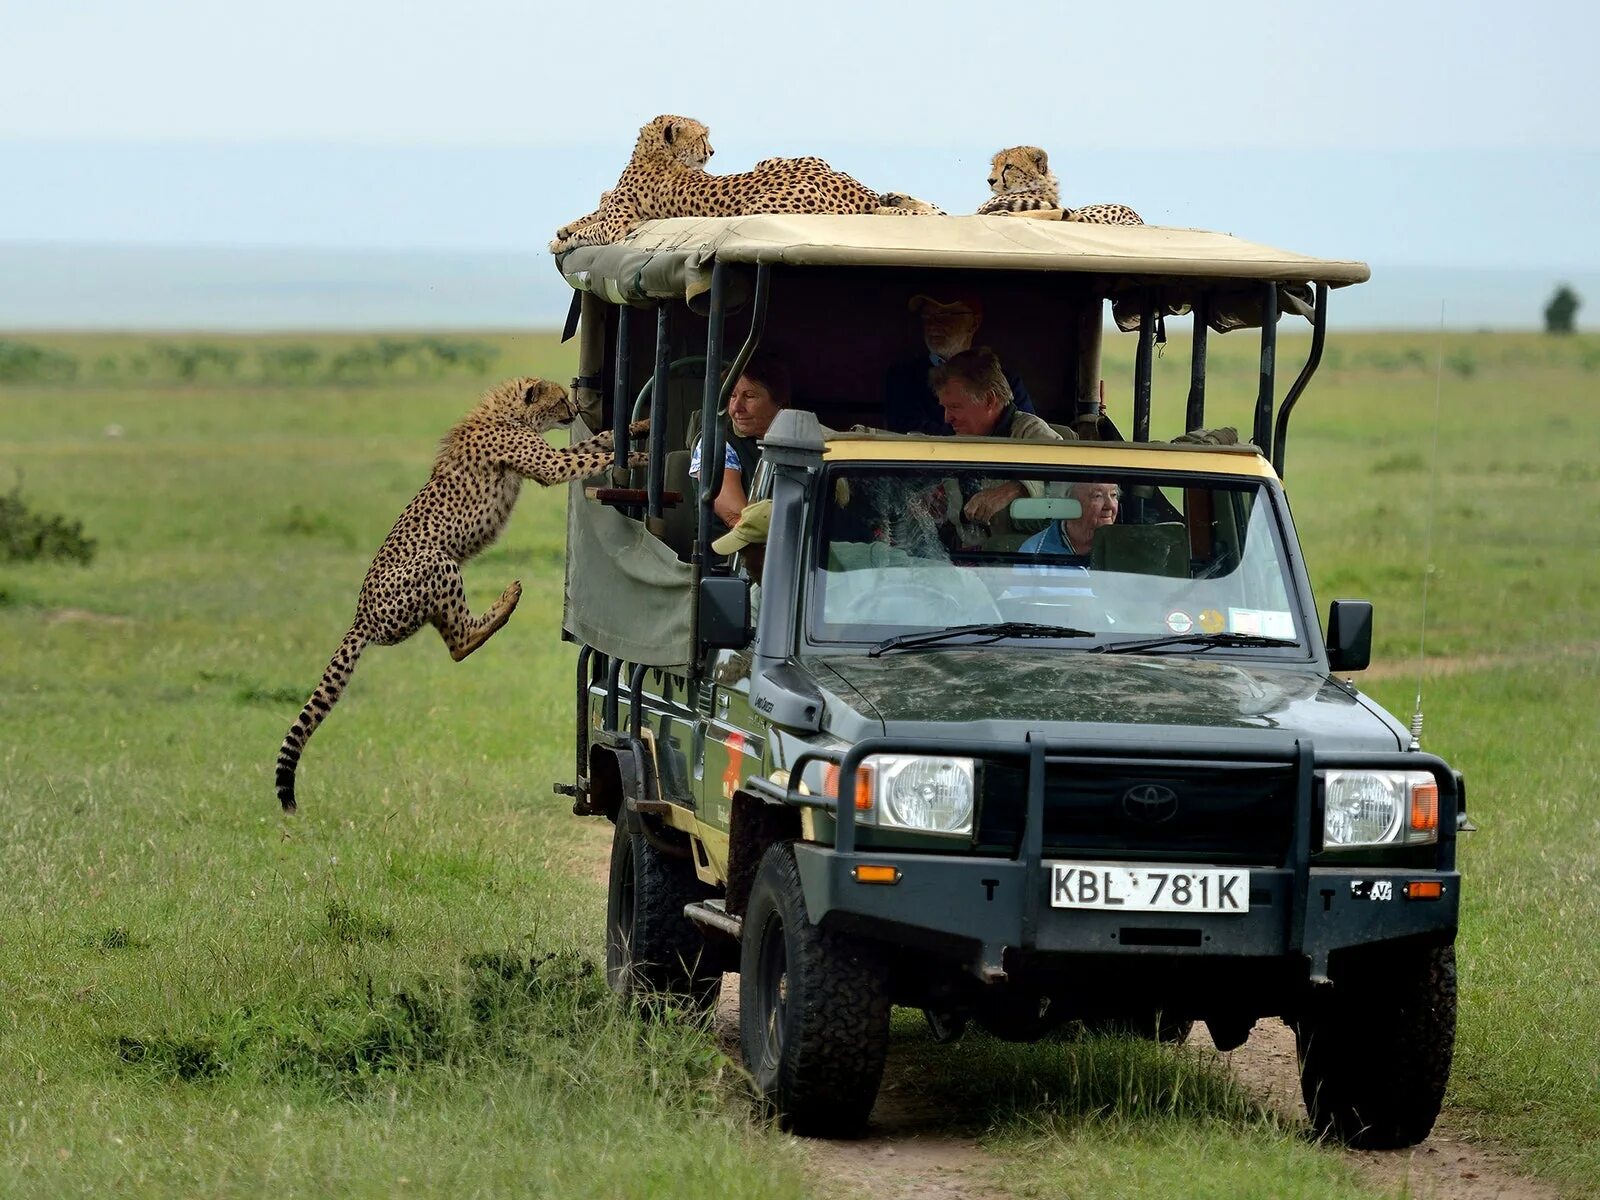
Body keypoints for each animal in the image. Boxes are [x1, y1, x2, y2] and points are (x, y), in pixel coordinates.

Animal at [275, 382, 643, 819]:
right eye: (559, 399)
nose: (573, 410)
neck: (506, 413)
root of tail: (359, 617)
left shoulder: (548, 455)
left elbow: (595, 443)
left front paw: (636, 427)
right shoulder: (548, 465)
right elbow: (589, 456)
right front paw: (636, 455)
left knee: (454, 641)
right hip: (436, 561)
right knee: (459, 644)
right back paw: (507, 601)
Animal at [553, 116, 940, 254]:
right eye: (702, 136)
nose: (712, 150)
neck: (657, 153)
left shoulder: (618, 227)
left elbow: (596, 225)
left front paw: (564, 240)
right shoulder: (612, 208)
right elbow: (595, 210)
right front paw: (562, 231)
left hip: (758, 206)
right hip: (777, 161)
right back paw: (895, 197)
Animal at [966, 146, 1145, 227]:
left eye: (1009, 166)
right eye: (994, 165)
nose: (990, 180)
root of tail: (1135, 217)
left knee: (1057, 213)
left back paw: (1002, 213)